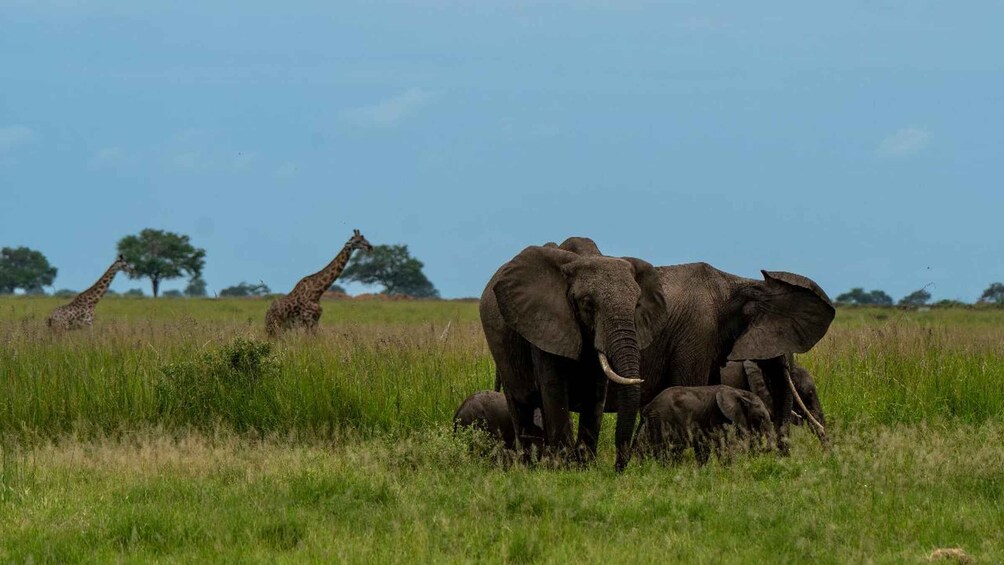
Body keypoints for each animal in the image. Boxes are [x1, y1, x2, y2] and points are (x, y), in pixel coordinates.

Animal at [477, 236, 666, 471]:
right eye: (587, 303)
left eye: (636, 304)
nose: (618, 469)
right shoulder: (545, 324)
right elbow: (555, 389)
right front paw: (564, 468)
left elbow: (595, 393)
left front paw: (585, 467)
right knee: (520, 404)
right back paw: (530, 466)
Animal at [638, 385, 771, 469]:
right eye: (761, 417)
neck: (740, 393)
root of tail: (648, 407)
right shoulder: (718, 417)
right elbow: (723, 444)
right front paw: (728, 469)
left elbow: (703, 449)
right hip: (661, 422)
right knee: (663, 450)